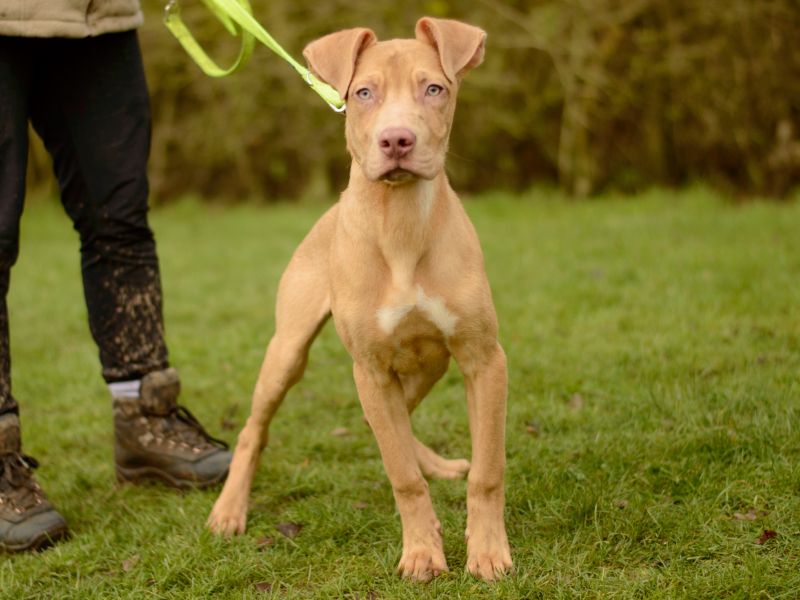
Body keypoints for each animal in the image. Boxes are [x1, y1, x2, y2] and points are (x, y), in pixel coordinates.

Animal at [209, 17, 512, 580]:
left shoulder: (483, 359)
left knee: (398, 418)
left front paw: (486, 551)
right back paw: (229, 509)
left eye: (434, 89)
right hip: (288, 351)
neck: (400, 227)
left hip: (430, 361)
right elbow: (402, 477)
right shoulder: (370, 369)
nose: (397, 139)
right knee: (254, 429)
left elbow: (487, 469)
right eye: (363, 93)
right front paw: (422, 552)